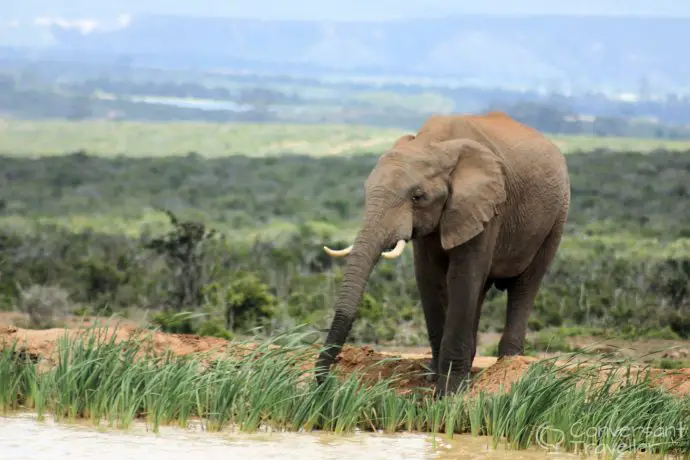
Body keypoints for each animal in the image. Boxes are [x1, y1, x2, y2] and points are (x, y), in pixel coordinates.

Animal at [314, 110, 568, 396]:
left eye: (417, 197)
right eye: (367, 192)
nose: (326, 383)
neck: (434, 144)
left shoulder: (486, 206)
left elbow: (462, 277)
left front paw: (449, 392)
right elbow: (429, 278)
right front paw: (433, 378)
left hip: (557, 214)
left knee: (525, 285)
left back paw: (509, 367)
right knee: (481, 291)